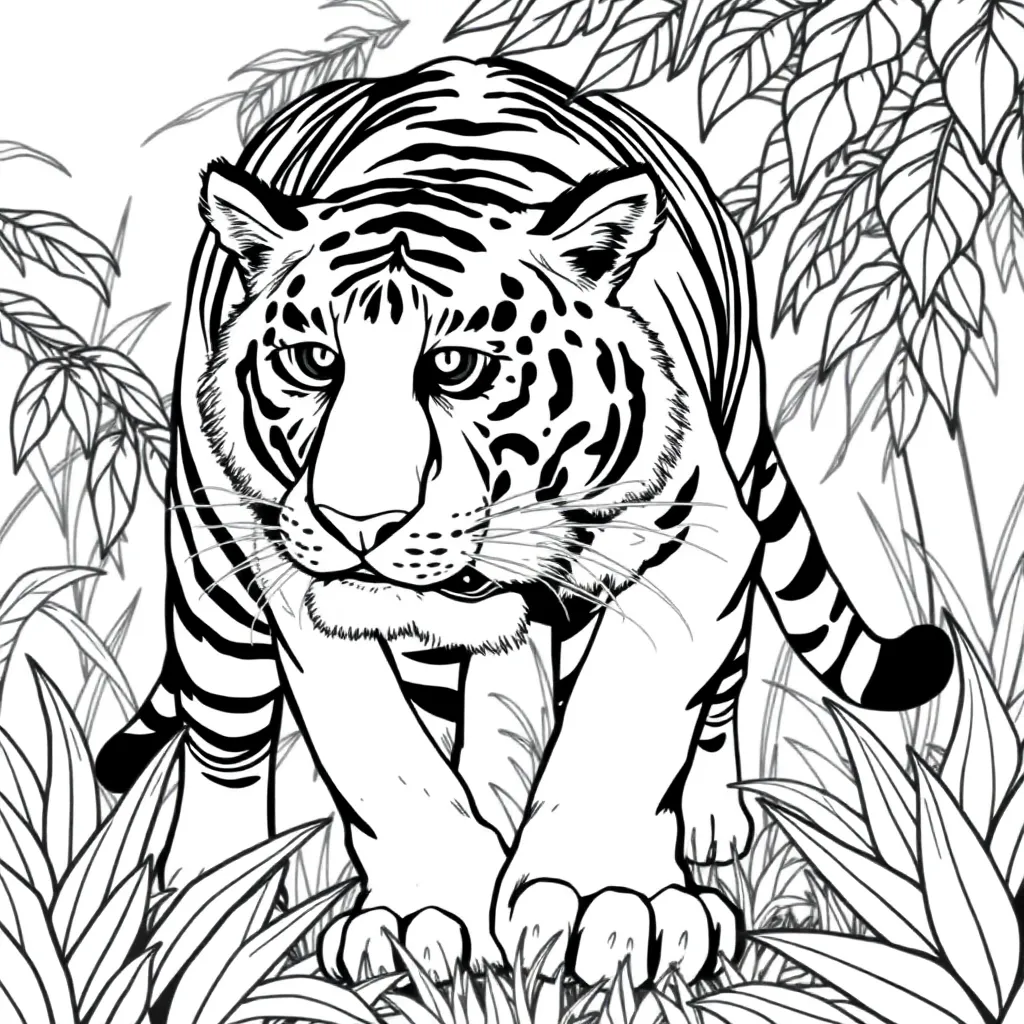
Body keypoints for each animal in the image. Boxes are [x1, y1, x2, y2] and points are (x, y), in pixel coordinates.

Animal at [96, 56, 952, 985]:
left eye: (455, 367)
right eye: (315, 361)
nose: (358, 519)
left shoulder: (695, 547)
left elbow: (627, 713)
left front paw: (607, 904)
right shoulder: (295, 587)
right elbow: (382, 753)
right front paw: (424, 914)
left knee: (713, 692)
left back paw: (708, 820)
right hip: (215, 574)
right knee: (229, 733)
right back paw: (214, 894)